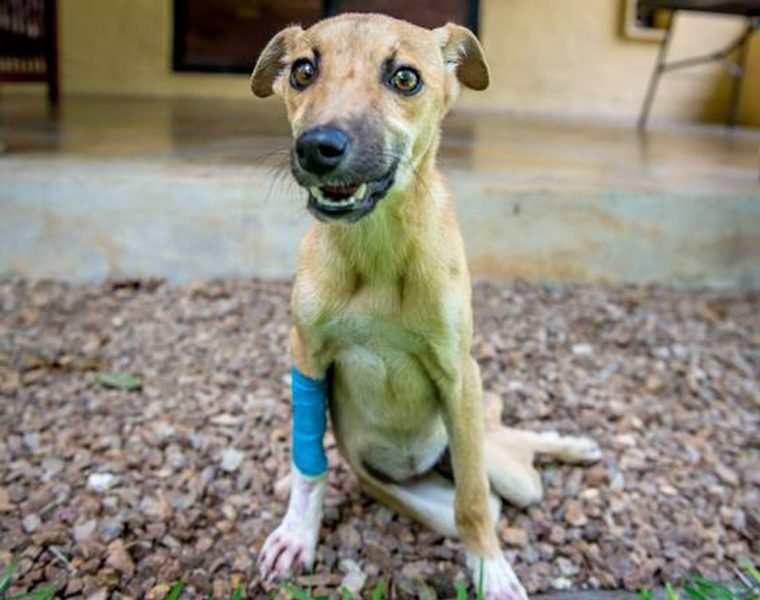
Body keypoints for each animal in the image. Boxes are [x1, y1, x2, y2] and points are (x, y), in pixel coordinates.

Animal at [249, 12, 600, 596]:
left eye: (406, 79)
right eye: (302, 71)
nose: (317, 147)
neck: (377, 251)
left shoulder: (459, 373)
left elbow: (473, 503)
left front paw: (491, 571)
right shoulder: (306, 353)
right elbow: (309, 464)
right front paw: (297, 532)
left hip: (502, 464)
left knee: (508, 460)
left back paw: (571, 445)